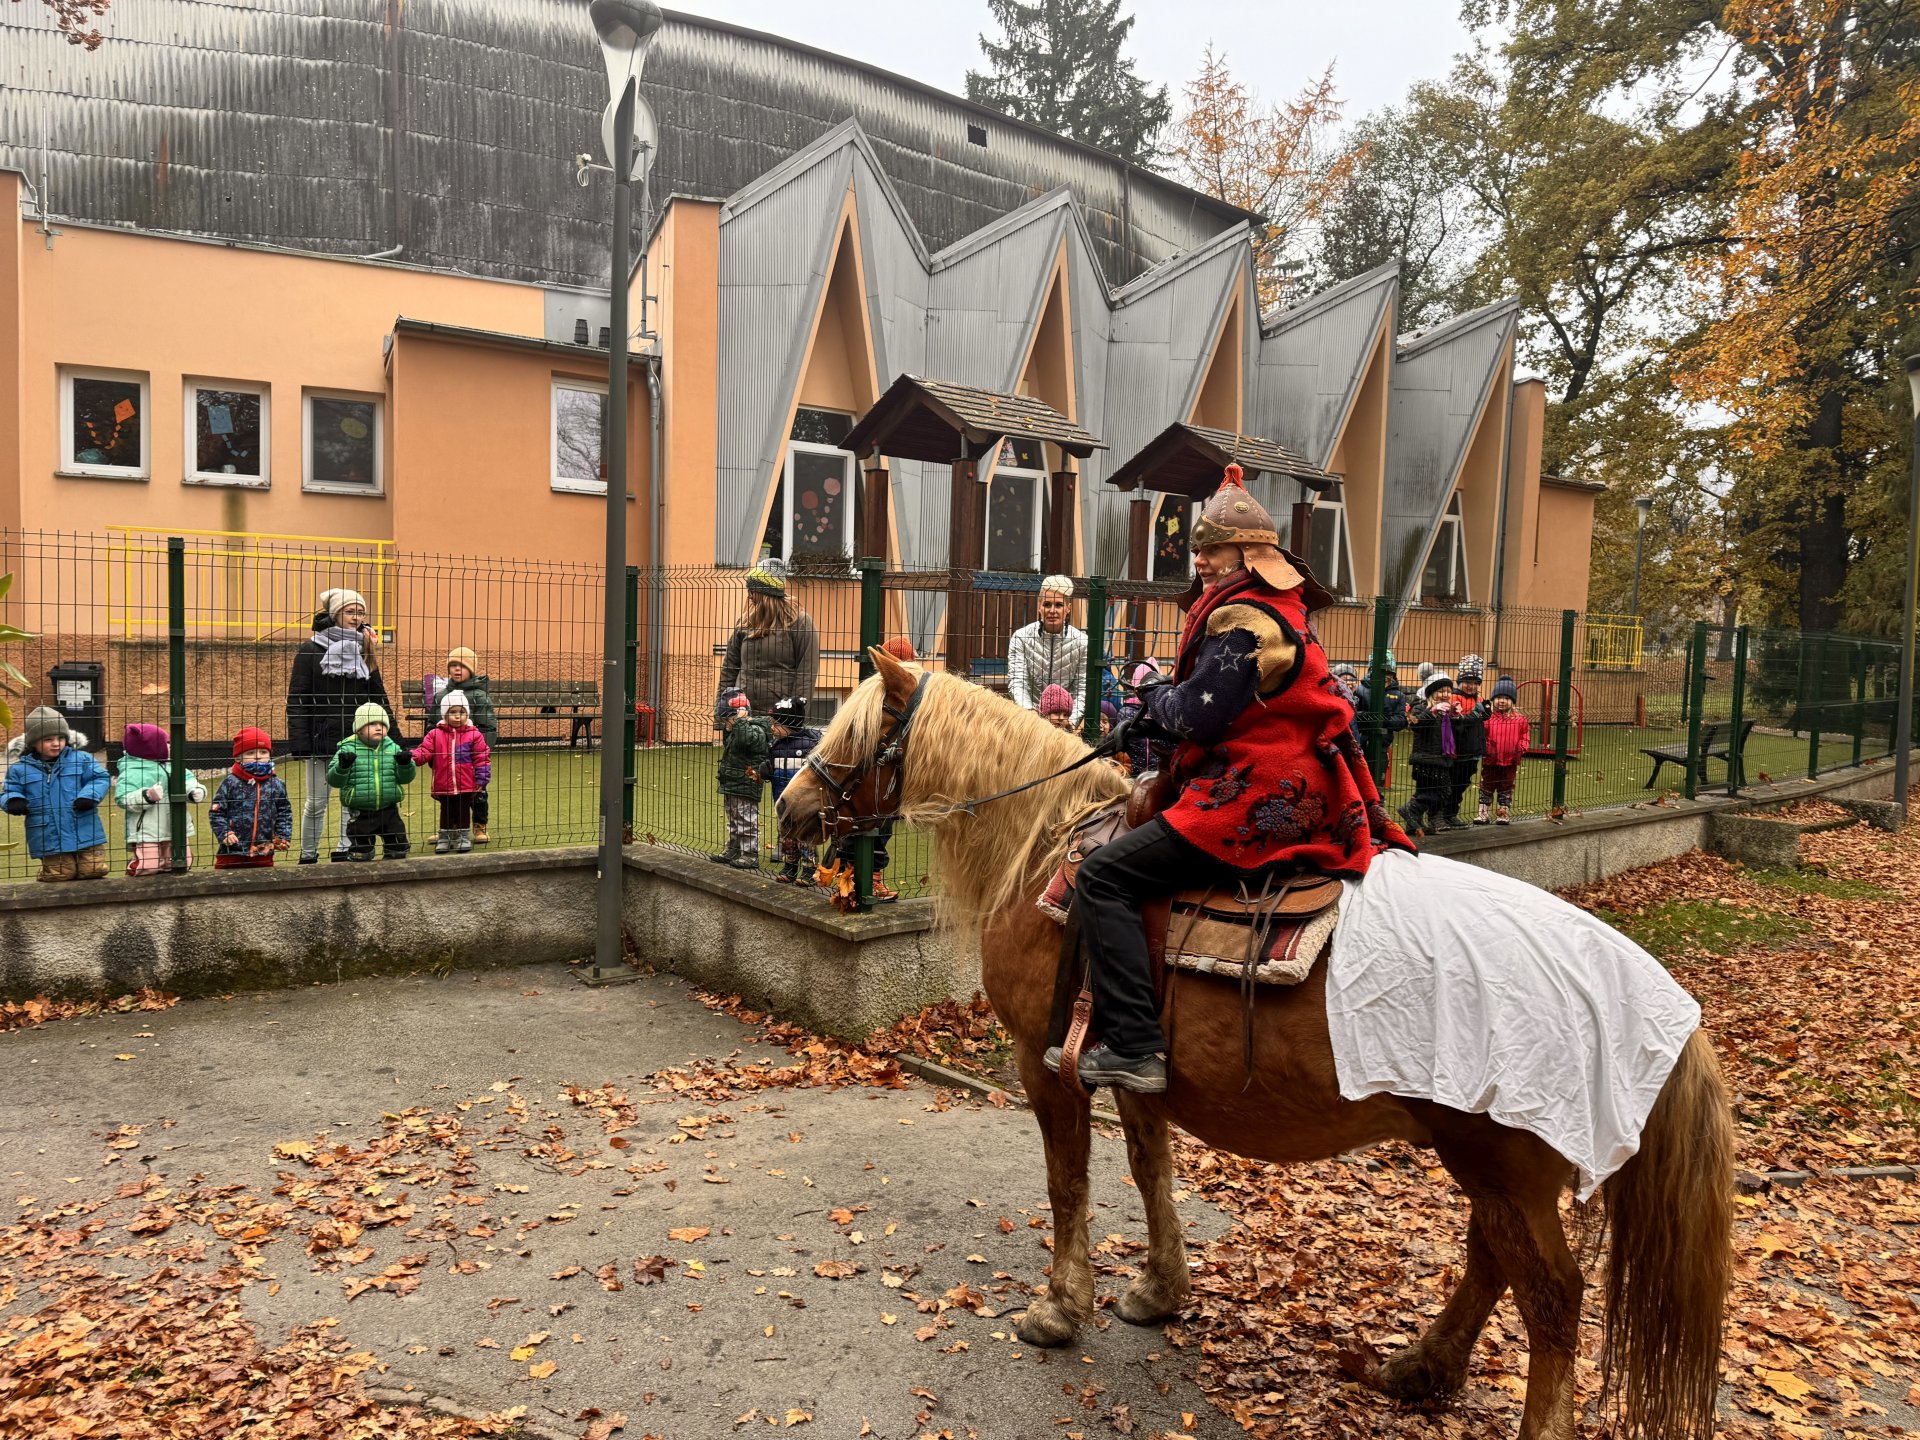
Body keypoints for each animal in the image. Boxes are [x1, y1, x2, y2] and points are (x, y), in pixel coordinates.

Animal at [778, 649, 1734, 1440]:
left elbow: (1068, 1182)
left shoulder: (1046, 1063)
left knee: (1552, 1298)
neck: (1045, 846)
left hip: (1501, 1158)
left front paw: (1060, 1307)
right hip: (1495, 1164)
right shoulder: (1132, 1066)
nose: (788, 807)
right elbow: (1151, 1169)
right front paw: (1159, 1292)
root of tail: (1641, 990)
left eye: (857, 731)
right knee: (1493, 1261)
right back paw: (1420, 1367)